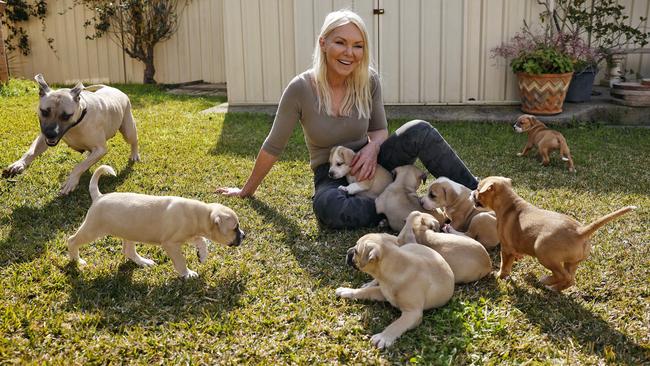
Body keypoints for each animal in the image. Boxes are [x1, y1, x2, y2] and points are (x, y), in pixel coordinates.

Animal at [67, 164, 246, 278]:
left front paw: (202, 255)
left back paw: (143, 262)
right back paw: (77, 260)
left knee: (128, 251)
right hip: (92, 230)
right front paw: (187, 274)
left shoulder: (188, 236)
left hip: (129, 231)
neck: (201, 214)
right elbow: (181, 261)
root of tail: (99, 196)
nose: (244, 235)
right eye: (235, 228)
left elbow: (201, 240)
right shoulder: (171, 244)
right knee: (72, 240)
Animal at [470, 177, 632, 292]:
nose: (472, 193)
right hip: (572, 262)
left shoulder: (506, 248)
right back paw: (554, 287)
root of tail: (580, 232)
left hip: (543, 252)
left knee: (563, 275)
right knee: (570, 279)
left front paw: (500, 276)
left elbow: (505, 265)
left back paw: (546, 281)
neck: (510, 203)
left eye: (478, 189)